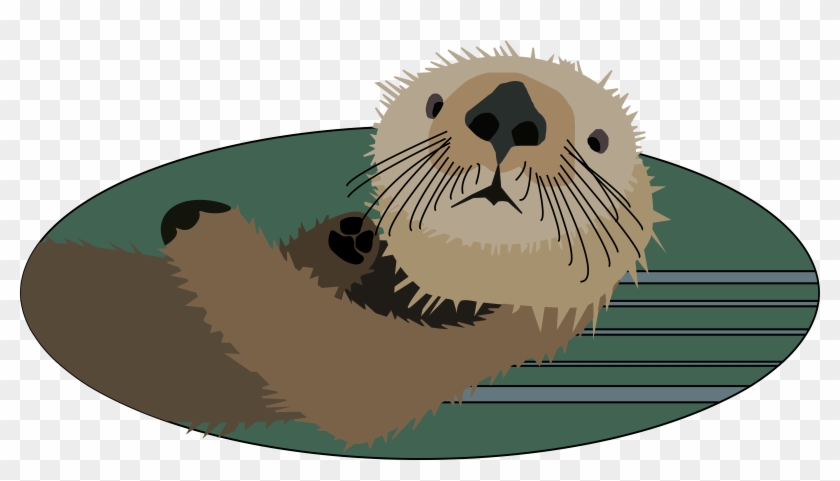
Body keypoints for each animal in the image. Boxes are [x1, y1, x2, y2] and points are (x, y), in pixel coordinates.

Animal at [21, 44, 667, 449]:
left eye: (599, 140)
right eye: (434, 102)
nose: (507, 111)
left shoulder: (462, 346)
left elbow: (321, 359)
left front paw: (197, 218)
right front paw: (350, 237)